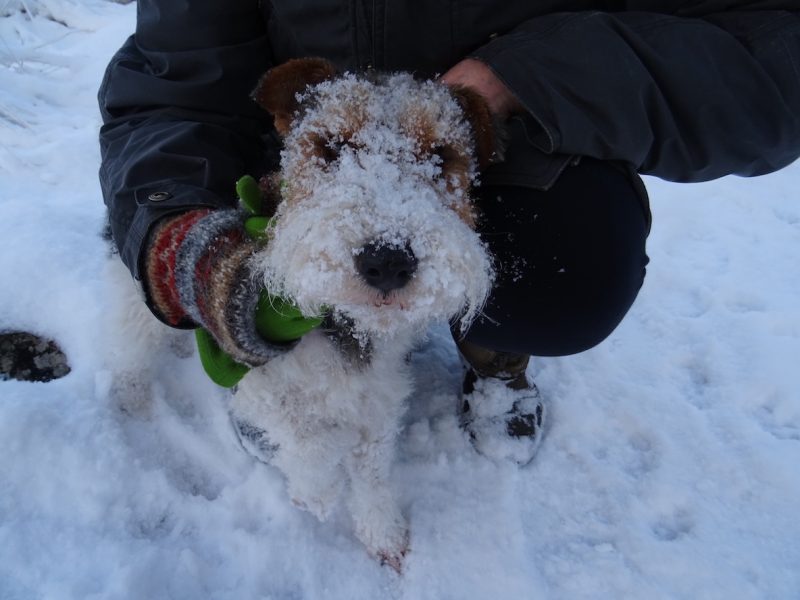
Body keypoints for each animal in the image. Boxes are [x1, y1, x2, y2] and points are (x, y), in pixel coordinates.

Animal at [106, 59, 500, 572]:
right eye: (330, 146)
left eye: (441, 154)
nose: (388, 260)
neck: (344, 325)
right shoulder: (257, 377)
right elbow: (311, 446)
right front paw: (314, 495)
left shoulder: (380, 396)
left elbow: (371, 469)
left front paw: (383, 533)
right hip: (146, 287)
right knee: (128, 344)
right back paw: (131, 398)